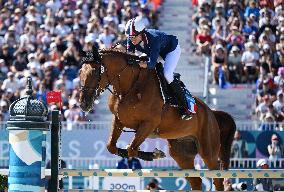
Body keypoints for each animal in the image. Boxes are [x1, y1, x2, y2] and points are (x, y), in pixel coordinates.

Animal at [77, 48, 235, 190]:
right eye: (80, 72)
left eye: (94, 72)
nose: (84, 104)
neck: (130, 86)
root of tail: (212, 113)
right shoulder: (119, 120)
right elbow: (112, 146)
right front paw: (154, 154)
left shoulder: (148, 124)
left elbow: (131, 149)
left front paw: (155, 154)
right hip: (182, 153)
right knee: (196, 181)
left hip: (208, 150)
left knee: (217, 177)